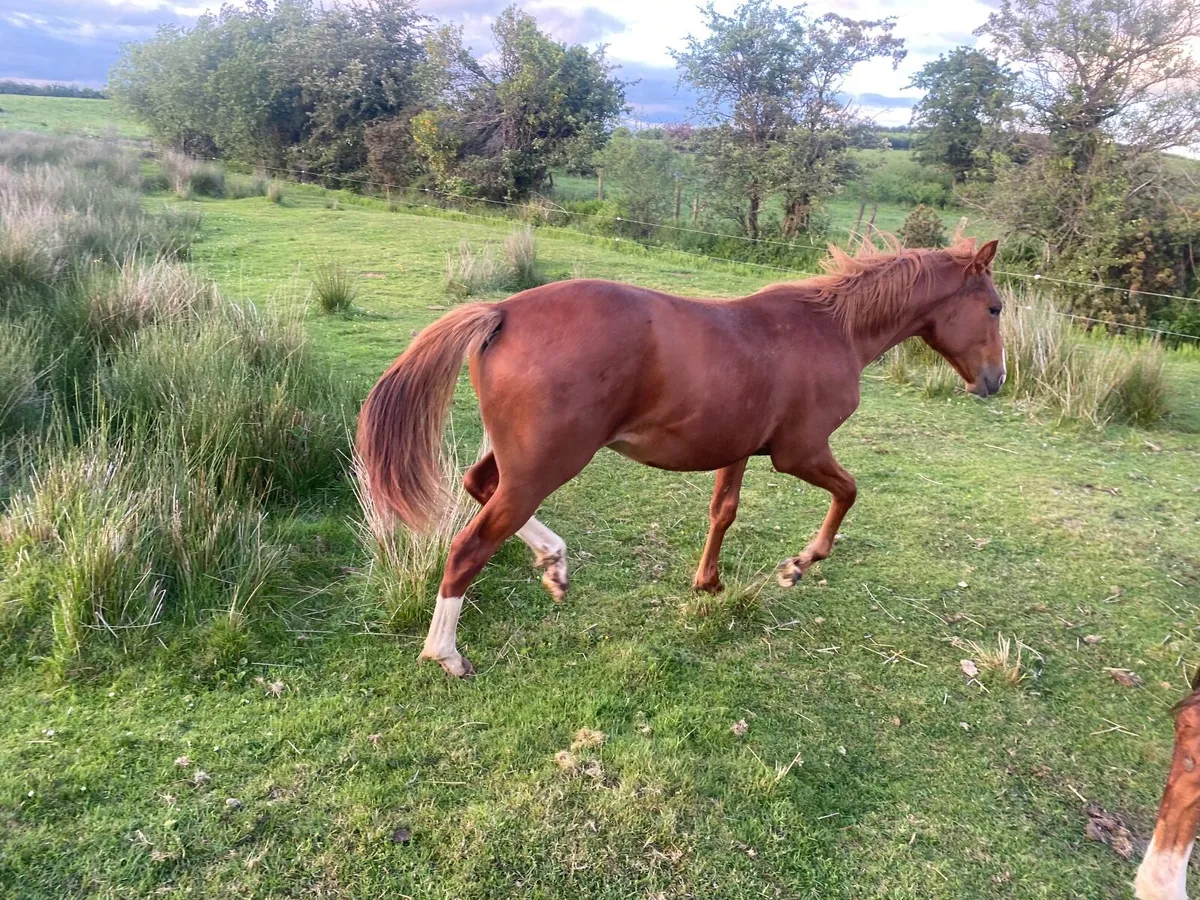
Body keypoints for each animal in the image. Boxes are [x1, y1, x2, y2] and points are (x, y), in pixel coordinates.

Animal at [357, 236, 1005, 677]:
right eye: (996, 308)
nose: (995, 380)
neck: (833, 330)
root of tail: (503, 312)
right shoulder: (799, 452)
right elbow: (848, 491)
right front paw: (799, 564)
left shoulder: (739, 447)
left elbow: (724, 511)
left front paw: (708, 583)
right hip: (546, 466)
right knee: (470, 546)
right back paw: (446, 653)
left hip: (521, 461)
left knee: (478, 485)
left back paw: (554, 563)